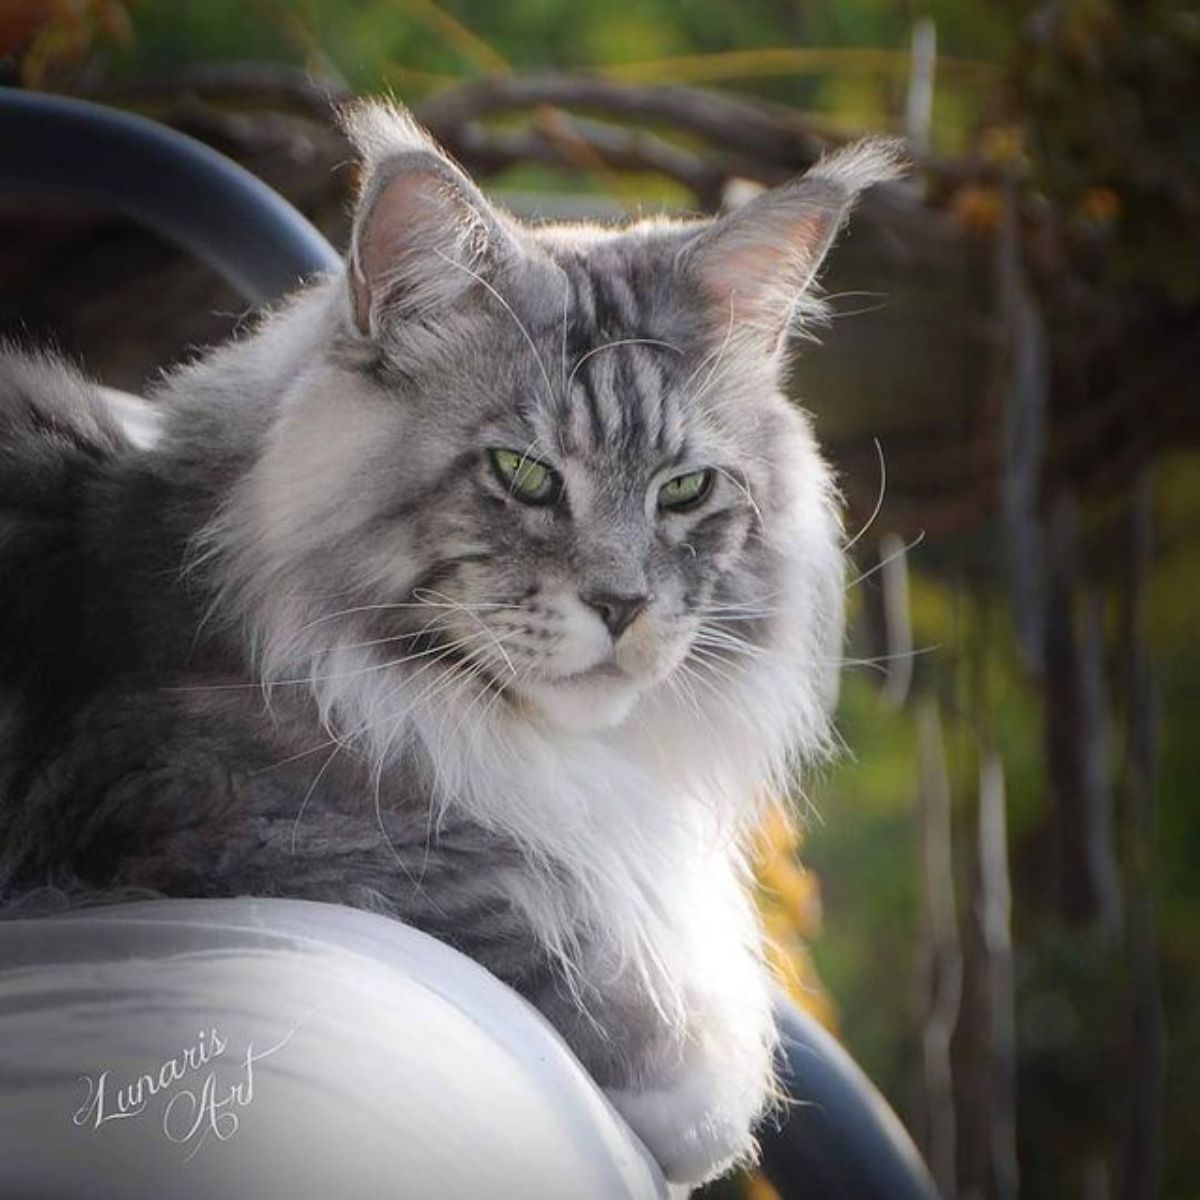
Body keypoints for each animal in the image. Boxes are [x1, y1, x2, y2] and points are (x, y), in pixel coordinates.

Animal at [0, 105, 902, 1190]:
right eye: (523, 474)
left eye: (685, 490)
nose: (623, 603)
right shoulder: (211, 817)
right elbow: (538, 912)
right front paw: (702, 1092)